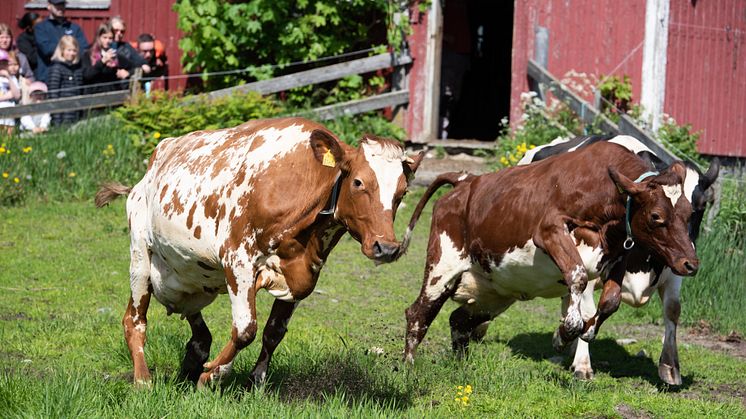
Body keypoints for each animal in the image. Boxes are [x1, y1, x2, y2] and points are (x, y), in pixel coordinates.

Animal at [93, 117, 422, 388]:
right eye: (358, 182)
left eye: (402, 192)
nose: (386, 247)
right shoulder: (237, 261)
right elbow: (245, 329)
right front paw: (212, 375)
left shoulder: (301, 273)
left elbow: (273, 331)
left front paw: (255, 379)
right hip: (141, 257)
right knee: (134, 320)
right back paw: (143, 379)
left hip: (188, 275)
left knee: (198, 330)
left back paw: (190, 364)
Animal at [396, 141, 696, 368]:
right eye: (656, 216)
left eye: (689, 212)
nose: (690, 263)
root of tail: (466, 181)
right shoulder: (549, 229)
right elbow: (578, 276)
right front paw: (565, 332)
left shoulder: (619, 253)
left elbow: (611, 300)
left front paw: (584, 330)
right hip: (441, 269)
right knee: (418, 314)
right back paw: (409, 366)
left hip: (495, 293)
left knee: (458, 319)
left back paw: (461, 366)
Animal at [516, 136, 716, 386]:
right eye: (657, 216)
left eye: (698, 208)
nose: (691, 261)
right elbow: (589, 308)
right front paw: (582, 364)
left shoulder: (672, 269)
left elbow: (672, 310)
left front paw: (670, 368)